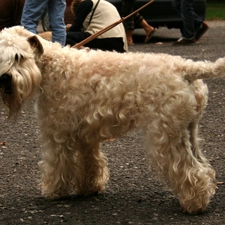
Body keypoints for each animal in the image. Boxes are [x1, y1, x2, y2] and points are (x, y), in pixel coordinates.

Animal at [0, 26, 224, 214]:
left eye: (19, 56)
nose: (4, 78)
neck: (53, 66)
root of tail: (184, 68)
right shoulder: (85, 134)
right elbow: (90, 162)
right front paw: (89, 187)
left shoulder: (57, 134)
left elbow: (57, 164)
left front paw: (54, 191)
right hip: (189, 130)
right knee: (203, 166)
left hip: (167, 135)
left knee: (189, 170)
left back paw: (194, 204)